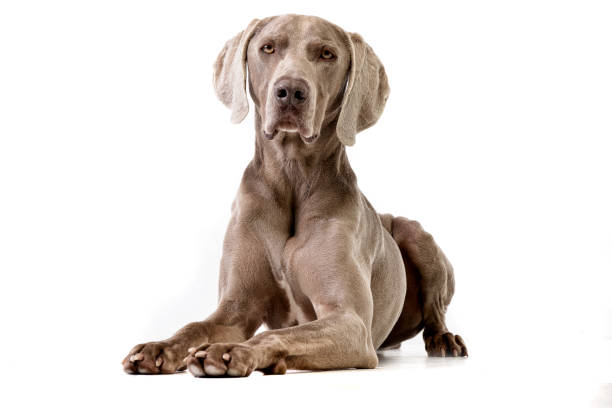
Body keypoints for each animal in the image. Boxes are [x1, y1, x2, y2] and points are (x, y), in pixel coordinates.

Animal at [122, 15, 466, 380]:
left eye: (327, 54)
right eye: (268, 48)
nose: (290, 91)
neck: (292, 177)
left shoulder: (349, 322)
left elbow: (276, 334)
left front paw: (232, 351)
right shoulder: (235, 307)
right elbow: (194, 326)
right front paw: (159, 347)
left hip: (415, 234)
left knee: (436, 311)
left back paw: (445, 339)